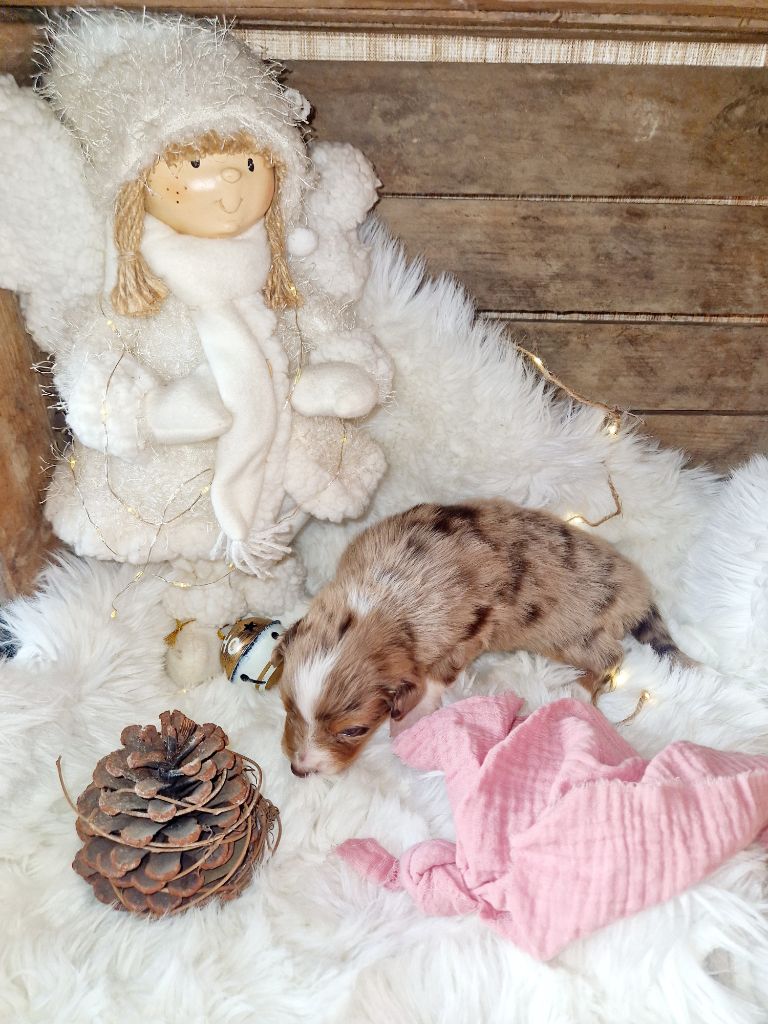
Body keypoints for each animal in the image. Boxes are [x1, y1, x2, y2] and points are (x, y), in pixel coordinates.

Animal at [274, 500, 690, 776]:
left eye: (354, 730)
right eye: (286, 706)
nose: (299, 770)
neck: (378, 599)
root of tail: (638, 592)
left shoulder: (470, 629)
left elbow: (436, 676)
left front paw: (410, 719)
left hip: (577, 634)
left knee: (610, 658)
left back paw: (577, 689)